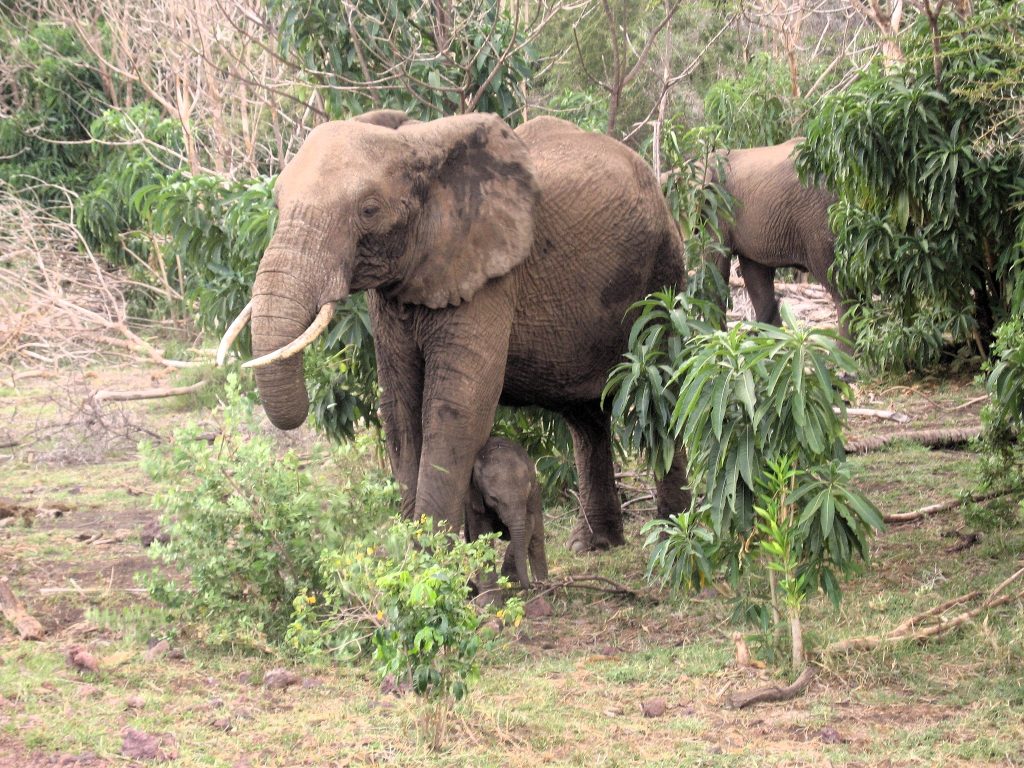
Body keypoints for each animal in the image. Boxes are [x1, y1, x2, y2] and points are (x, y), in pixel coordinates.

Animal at [219, 109, 691, 553]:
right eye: (277, 204)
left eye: (369, 210)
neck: (419, 146)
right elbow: (399, 408)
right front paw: (421, 562)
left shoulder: (490, 274)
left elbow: (455, 408)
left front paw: (436, 564)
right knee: (585, 415)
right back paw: (593, 545)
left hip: (662, 277)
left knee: (663, 392)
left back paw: (671, 536)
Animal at [464, 436, 547, 591]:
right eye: (493, 499)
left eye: (527, 492)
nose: (530, 586)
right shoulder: (473, 496)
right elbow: (480, 530)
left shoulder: (531, 496)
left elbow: (528, 523)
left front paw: (510, 577)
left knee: (537, 538)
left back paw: (545, 587)